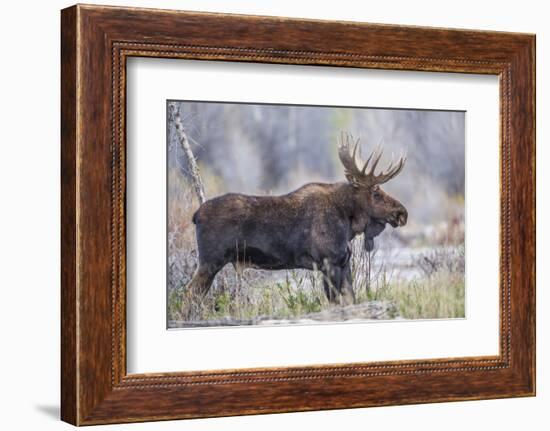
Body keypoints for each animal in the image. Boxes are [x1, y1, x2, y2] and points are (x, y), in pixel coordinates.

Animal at [188, 135, 408, 308]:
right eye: (376, 193)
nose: (402, 213)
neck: (348, 222)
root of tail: (196, 215)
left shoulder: (343, 263)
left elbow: (350, 300)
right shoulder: (328, 262)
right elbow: (336, 302)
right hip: (210, 261)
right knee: (188, 296)